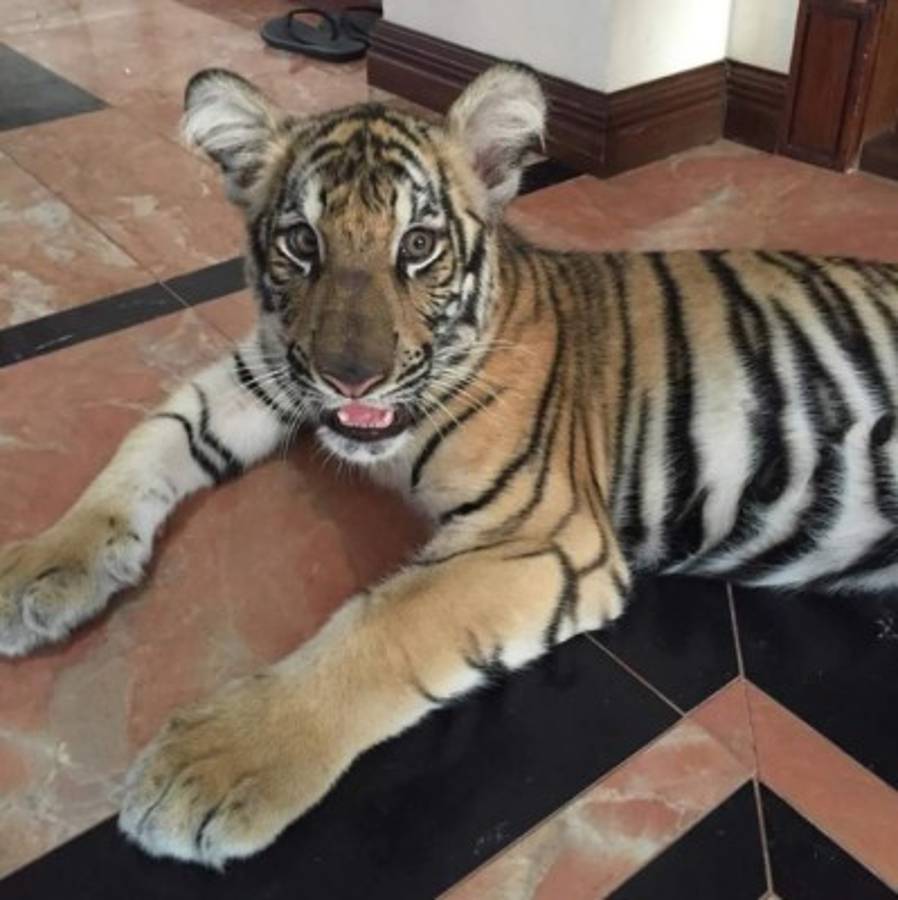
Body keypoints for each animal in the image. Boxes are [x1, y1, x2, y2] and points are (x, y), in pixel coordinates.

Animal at [2, 62, 897, 868]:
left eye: (420, 245)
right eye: (301, 242)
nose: (350, 377)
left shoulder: (542, 532)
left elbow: (385, 623)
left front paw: (214, 766)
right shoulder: (266, 373)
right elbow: (153, 437)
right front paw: (43, 570)